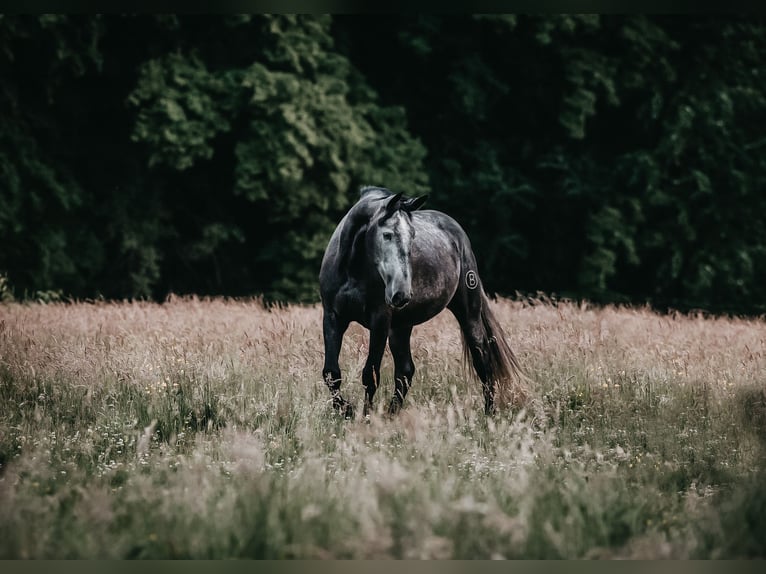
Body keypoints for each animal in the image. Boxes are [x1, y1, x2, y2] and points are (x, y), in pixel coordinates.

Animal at [320, 188, 528, 418]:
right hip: (401, 327)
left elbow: (370, 375)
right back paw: (392, 414)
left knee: (481, 359)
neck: (353, 267)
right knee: (405, 371)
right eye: (387, 235)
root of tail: (458, 234)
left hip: (468, 314)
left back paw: (489, 413)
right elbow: (331, 372)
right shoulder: (332, 317)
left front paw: (365, 417)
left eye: (412, 237)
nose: (401, 293)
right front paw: (345, 410)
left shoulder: (379, 322)